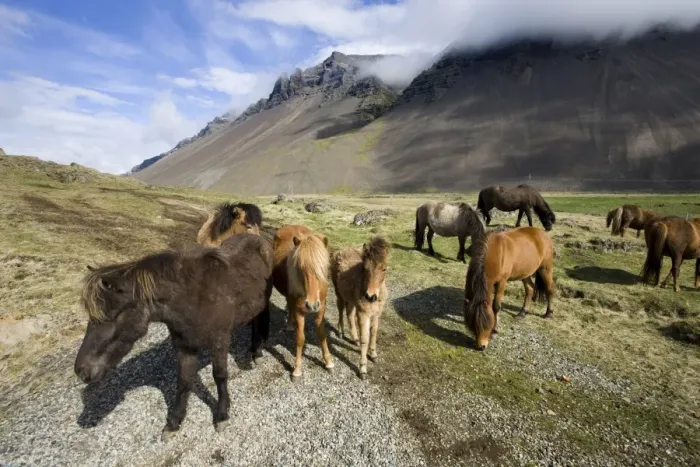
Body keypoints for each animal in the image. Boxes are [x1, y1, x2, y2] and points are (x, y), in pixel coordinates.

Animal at [74, 233, 274, 441]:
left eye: (112, 315)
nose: (82, 371)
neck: (193, 298)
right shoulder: (184, 346)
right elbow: (184, 381)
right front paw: (174, 422)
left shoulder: (220, 341)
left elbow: (219, 376)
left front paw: (222, 414)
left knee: (261, 319)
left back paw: (257, 352)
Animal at [272, 224, 334, 381]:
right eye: (300, 267)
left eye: (322, 267)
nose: (311, 305)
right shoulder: (300, 312)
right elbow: (300, 339)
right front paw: (297, 370)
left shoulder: (321, 309)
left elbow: (322, 335)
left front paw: (328, 362)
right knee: (290, 305)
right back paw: (289, 325)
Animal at [331, 236, 390, 380]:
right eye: (365, 268)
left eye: (384, 269)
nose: (370, 296)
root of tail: (341, 250)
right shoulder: (363, 313)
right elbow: (365, 338)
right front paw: (363, 369)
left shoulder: (377, 313)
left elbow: (373, 333)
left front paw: (373, 354)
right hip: (339, 292)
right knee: (340, 308)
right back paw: (341, 332)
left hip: (351, 299)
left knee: (349, 313)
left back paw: (354, 338)